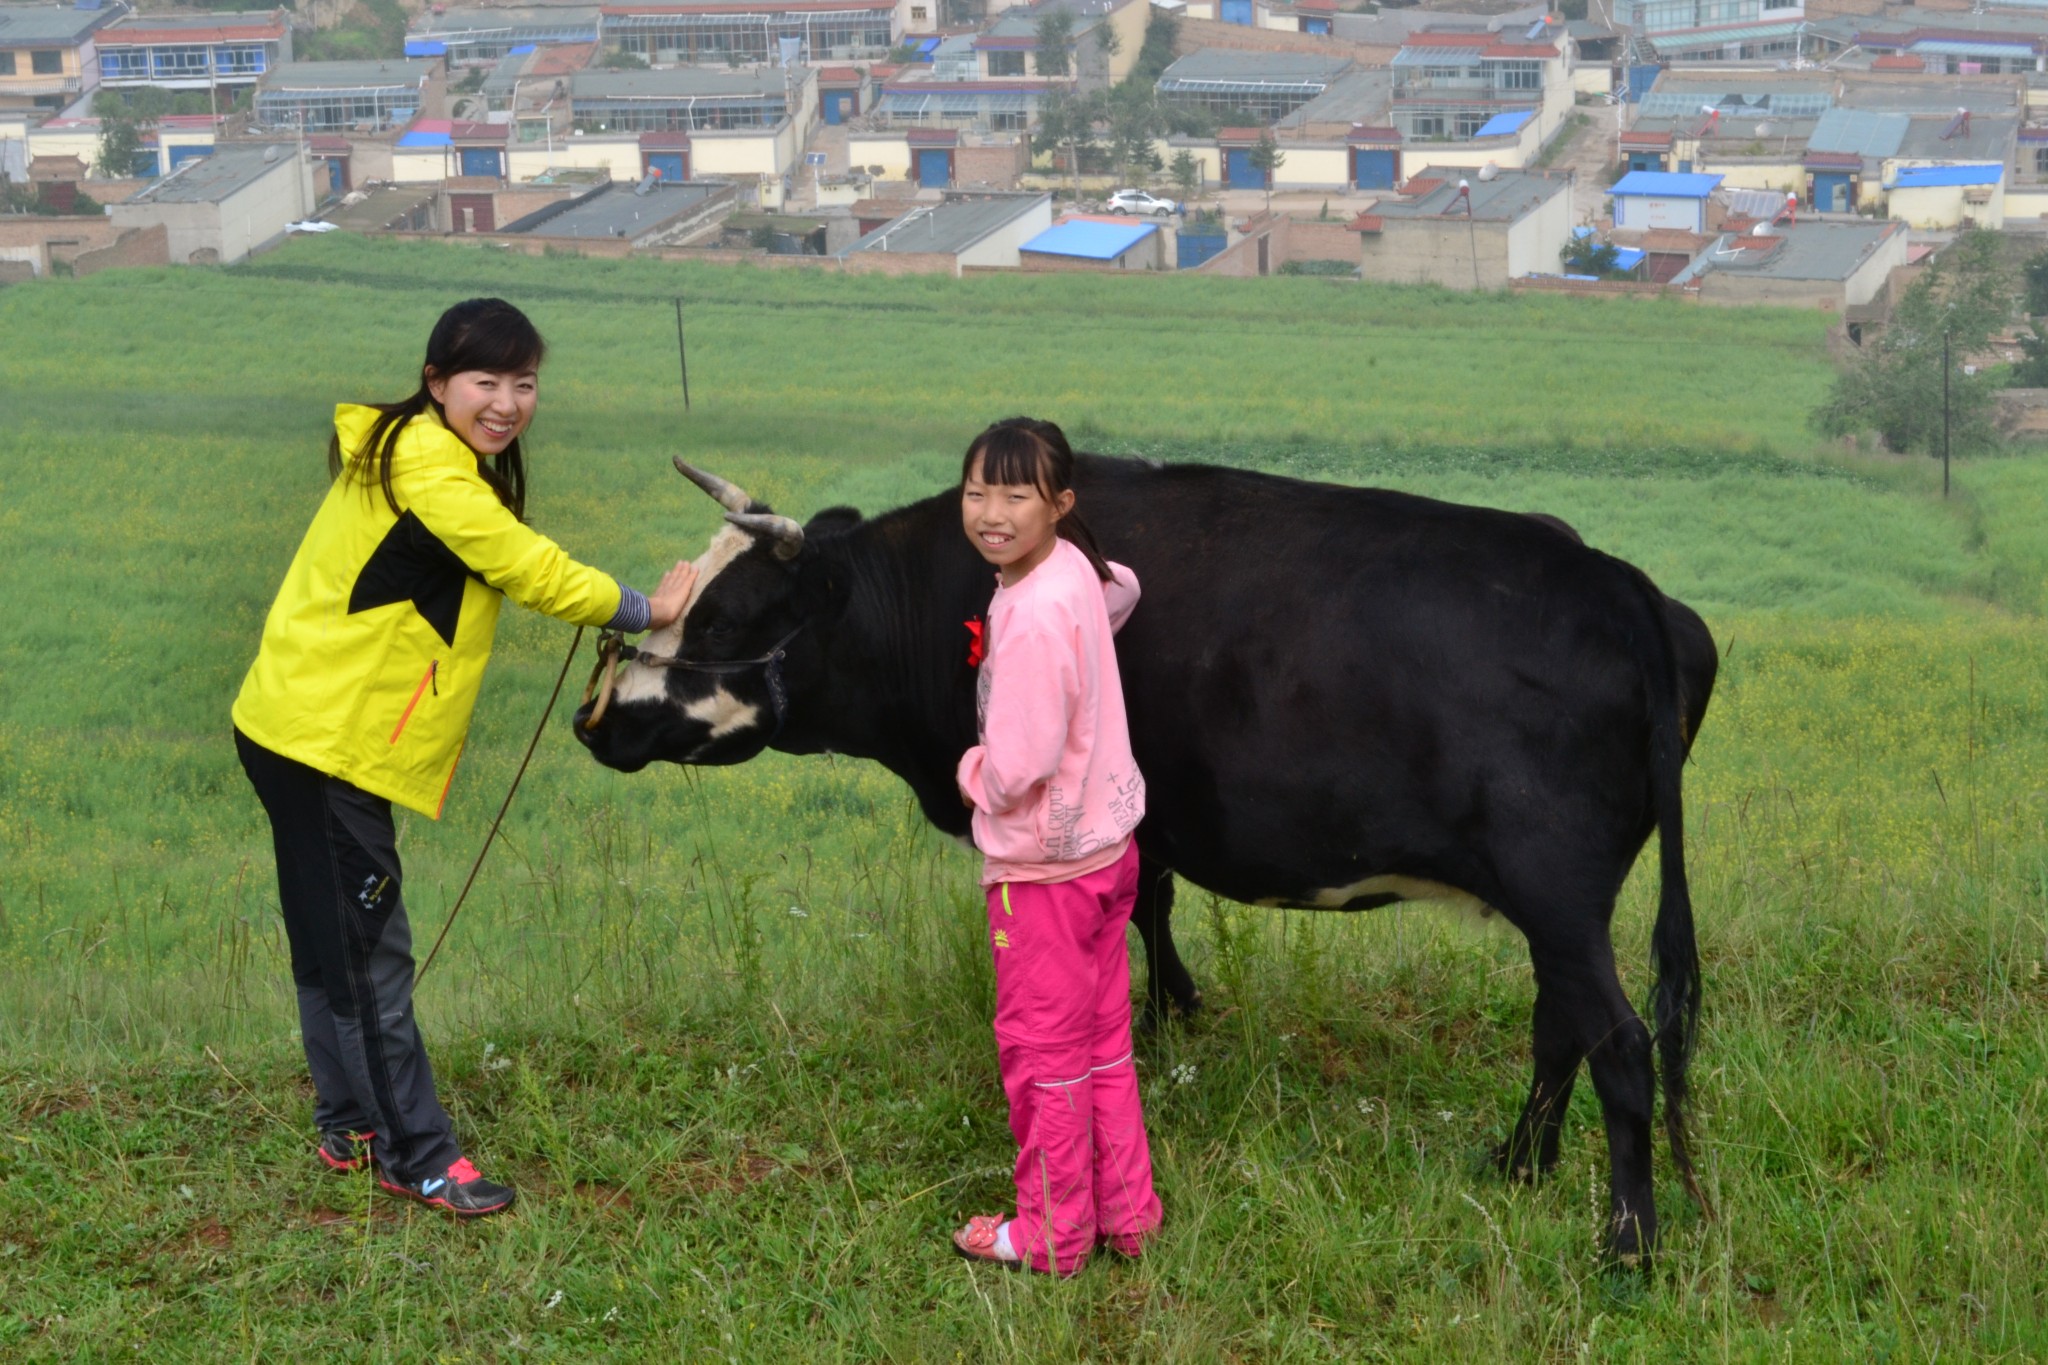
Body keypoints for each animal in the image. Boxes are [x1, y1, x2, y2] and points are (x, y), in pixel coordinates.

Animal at [585, 456, 1720, 1260]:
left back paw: (1626, 1244)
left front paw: (1164, 1014)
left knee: (1620, 1044)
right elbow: (1150, 908)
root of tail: (1618, 583)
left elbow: (1135, 917)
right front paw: (1175, 1012)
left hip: (1554, 886)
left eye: (723, 619)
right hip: (1562, 903)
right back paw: (1517, 1164)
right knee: (1561, 1027)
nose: (597, 718)